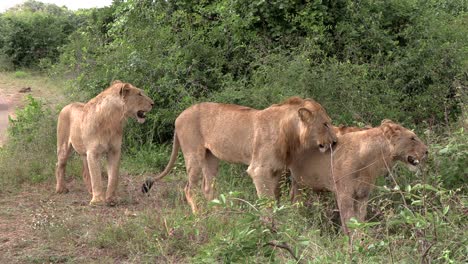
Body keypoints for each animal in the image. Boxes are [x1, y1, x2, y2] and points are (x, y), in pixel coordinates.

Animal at [142, 97, 336, 212]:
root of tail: (179, 116)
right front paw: (271, 226)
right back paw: (200, 216)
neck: (290, 133)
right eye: (325, 124)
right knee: (189, 189)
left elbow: (276, 198)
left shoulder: (276, 170)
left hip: (210, 157)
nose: (334, 142)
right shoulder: (259, 170)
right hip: (193, 155)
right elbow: (267, 201)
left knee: (208, 187)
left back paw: (217, 215)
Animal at [290, 119, 430, 233]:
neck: (372, 159)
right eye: (412, 138)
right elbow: (348, 222)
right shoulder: (344, 194)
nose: (427, 151)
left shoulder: (363, 195)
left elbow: (360, 221)